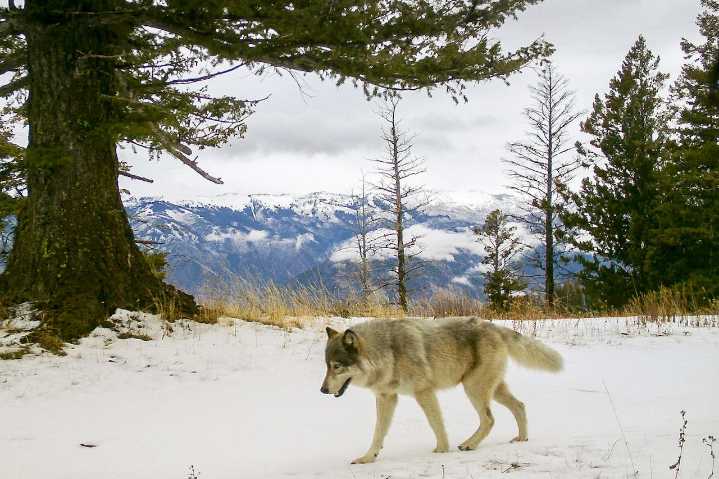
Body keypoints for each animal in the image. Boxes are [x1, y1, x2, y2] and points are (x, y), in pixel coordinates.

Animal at [320, 317, 563, 464]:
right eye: (326, 366)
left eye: (337, 366)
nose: (322, 390)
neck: (388, 352)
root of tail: (494, 326)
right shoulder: (386, 398)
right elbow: (378, 432)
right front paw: (368, 458)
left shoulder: (424, 392)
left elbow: (436, 424)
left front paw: (442, 450)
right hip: (492, 390)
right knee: (520, 406)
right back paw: (521, 438)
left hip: (473, 389)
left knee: (489, 419)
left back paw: (469, 444)